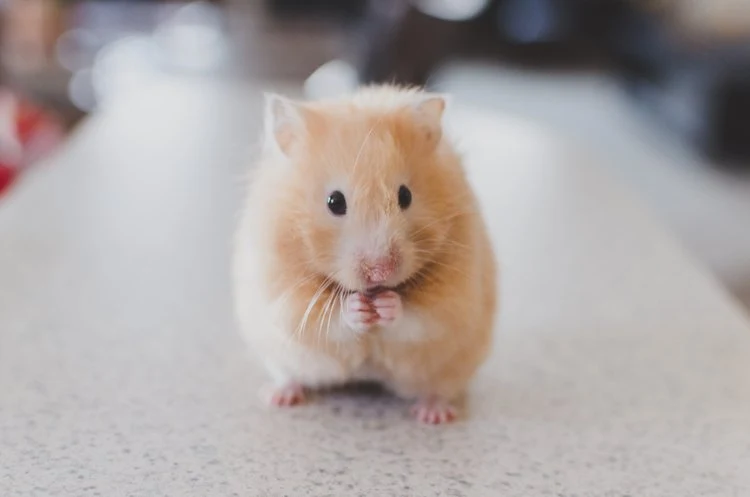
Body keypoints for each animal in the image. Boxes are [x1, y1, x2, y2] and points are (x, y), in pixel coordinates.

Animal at [233, 85, 497, 424]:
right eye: (334, 202)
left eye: (405, 196)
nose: (380, 272)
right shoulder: (284, 294)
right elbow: (325, 318)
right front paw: (358, 308)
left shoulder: (454, 297)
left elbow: (420, 317)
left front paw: (386, 305)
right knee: (289, 375)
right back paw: (278, 396)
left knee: (439, 389)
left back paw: (433, 415)